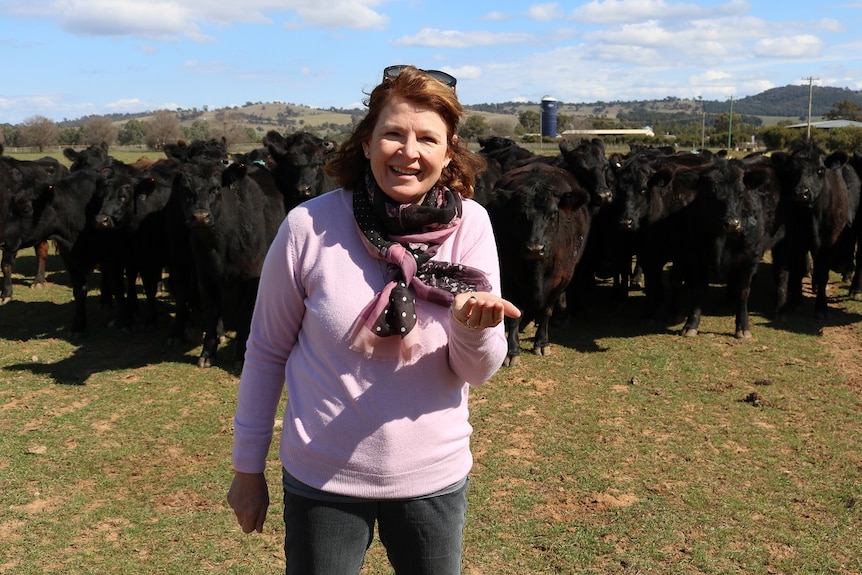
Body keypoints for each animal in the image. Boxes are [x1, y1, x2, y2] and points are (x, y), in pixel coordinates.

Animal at [172, 160, 286, 372]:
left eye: (216, 188)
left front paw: (241, 356)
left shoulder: (251, 276)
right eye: (184, 189)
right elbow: (212, 310)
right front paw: (207, 353)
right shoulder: (205, 274)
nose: (200, 216)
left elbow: (245, 314)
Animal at [486, 162, 592, 364]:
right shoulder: (508, 275)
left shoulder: (562, 278)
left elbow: (546, 311)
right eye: (519, 214)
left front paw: (541, 343)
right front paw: (512, 351)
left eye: (553, 214)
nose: (535, 248)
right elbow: (515, 313)